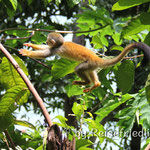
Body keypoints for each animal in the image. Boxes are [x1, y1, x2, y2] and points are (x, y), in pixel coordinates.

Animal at [19, 32, 150, 92]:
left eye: (47, 39)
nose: (46, 41)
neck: (60, 44)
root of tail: (97, 58)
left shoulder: (55, 49)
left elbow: (45, 53)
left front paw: (27, 52)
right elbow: (44, 49)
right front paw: (30, 45)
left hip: (89, 63)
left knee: (78, 68)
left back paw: (86, 82)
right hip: (93, 65)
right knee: (91, 72)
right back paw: (96, 84)